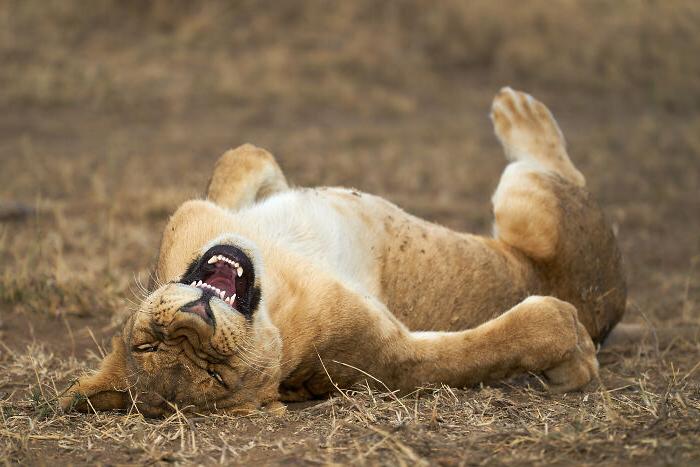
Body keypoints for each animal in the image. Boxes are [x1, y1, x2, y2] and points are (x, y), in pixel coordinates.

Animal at [63, 88, 628, 416]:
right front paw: (574, 356)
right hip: (528, 204)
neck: (276, 285)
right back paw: (521, 114)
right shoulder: (388, 359)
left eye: (146, 345)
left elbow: (243, 155)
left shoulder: (208, 211)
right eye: (216, 375)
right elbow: (491, 346)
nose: (191, 322)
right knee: (553, 174)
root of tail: (615, 304)